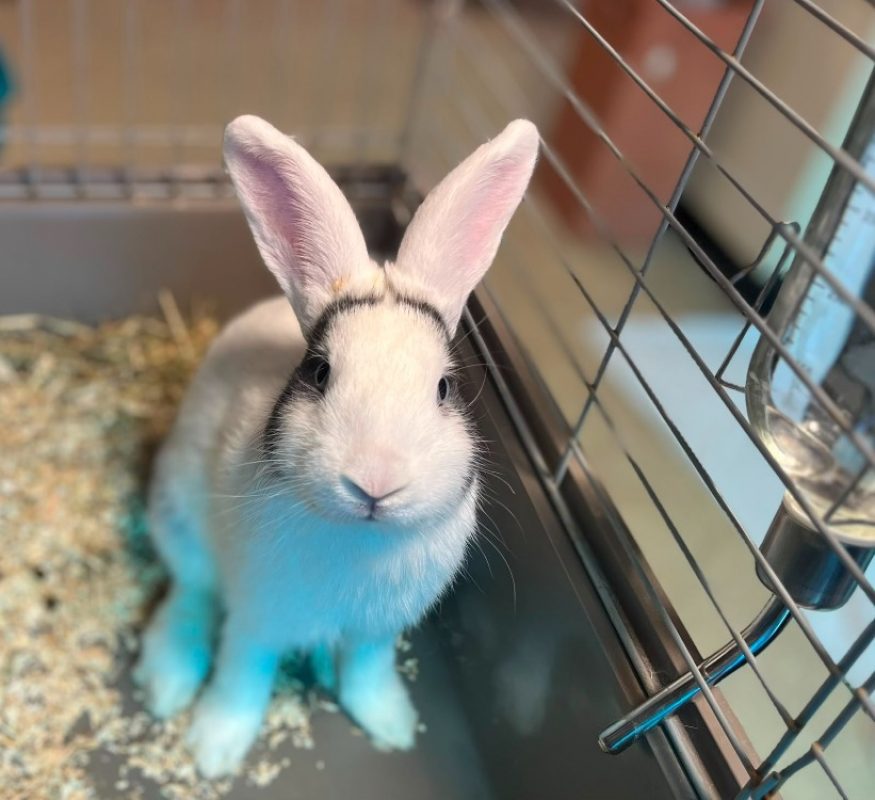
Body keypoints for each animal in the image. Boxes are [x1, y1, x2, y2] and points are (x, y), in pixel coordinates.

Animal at [132, 114, 539, 778]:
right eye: (320, 372)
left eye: (445, 388)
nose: (375, 482)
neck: (359, 537)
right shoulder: (257, 616)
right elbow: (241, 677)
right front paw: (214, 748)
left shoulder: (378, 631)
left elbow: (367, 675)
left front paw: (392, 725)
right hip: (180, 519)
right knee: (189, 594)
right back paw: (166, 681)